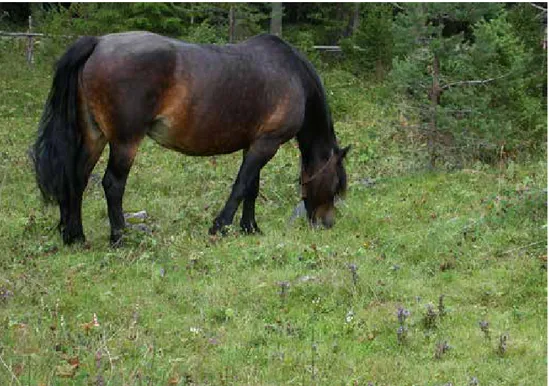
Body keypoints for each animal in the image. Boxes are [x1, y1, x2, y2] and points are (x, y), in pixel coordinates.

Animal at [32, 31, 348, 246]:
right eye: (335, 185)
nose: (327, 223)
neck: (292, 74)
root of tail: (98, 42)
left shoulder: (256, 144)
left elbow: (251, 188)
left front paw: (250, 228)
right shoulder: (266, 144)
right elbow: (241, 186)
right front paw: (220, 226)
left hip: (94, 136)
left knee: (76, 179)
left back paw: (75, 236)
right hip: (124, 142)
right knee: (112, 185)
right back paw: (120, 237)